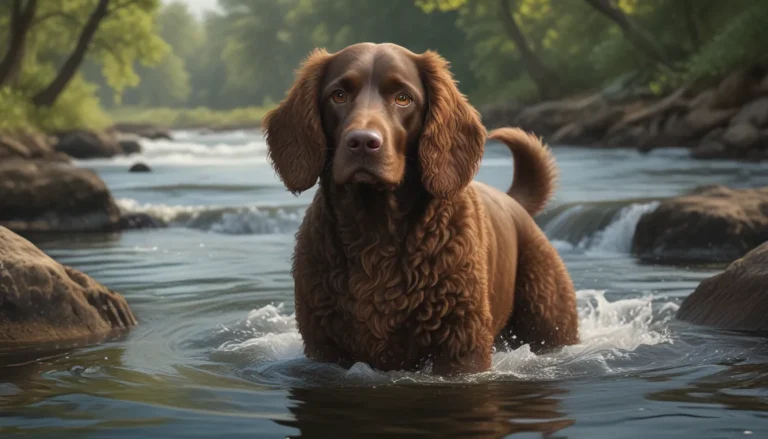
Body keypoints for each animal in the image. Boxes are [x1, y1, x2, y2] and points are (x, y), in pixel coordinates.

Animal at [260, 43, 580, 376]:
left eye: (403, 98)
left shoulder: (461, 349)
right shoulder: (324, 350)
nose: (362, 142)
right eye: (338, 95)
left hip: (550, 323)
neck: (376, 232)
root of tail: (515, 202)